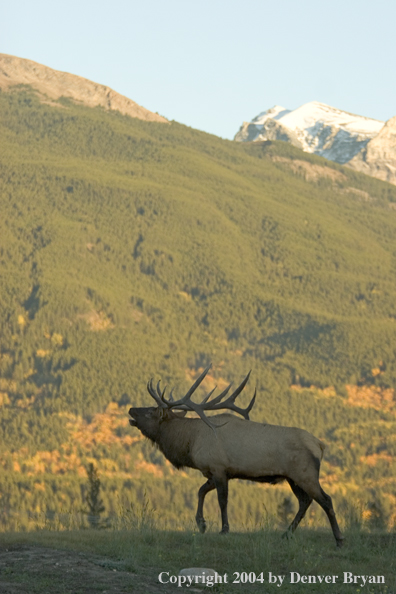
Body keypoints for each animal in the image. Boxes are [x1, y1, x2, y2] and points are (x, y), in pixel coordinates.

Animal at [129, 366, 344, 544]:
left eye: (151, 411)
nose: (131, 409)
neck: (190, 442)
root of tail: (320, 445)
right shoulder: (215, 472)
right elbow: (200, 491)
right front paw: (201, 523)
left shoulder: (219, 467)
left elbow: (222, 500)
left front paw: (224, 529)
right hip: (293, 477)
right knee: (305, 501)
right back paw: (286, 534)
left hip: (305, 473)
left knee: (325, 499)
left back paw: (339, 538)